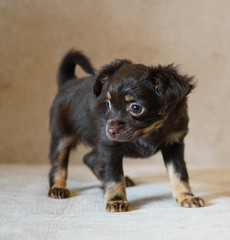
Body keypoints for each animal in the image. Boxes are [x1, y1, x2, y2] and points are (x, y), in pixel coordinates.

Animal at [47, 49, 204, 211]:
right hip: (62, 138)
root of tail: (68, 82)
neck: (151, 130)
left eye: (136, 108)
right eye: (108, 104)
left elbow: (179, 173)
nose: (109, 130)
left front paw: (186, 196)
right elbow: (114, 176)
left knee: (88, 157)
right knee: (59, 164)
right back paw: (57, 188)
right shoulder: (110, 147)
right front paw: (116, 200)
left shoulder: (174, 144)